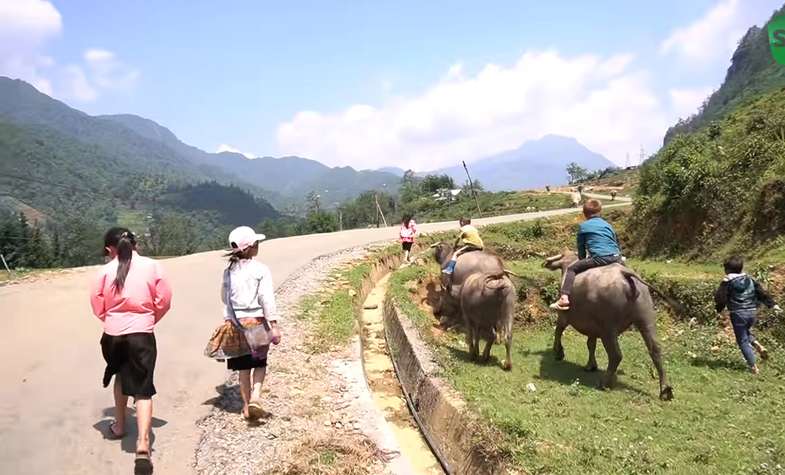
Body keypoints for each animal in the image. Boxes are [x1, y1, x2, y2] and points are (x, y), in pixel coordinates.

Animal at [544, 253, 672, 402]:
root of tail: (625, 273)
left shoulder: (564, 316)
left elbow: (558, 331)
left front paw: (558, 352)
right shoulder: (592, 327)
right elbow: (591, 344)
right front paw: (591, 365)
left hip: (608, 328)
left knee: (616, 355)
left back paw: (604, 383)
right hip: (646, 318)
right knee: (655, 350)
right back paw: (665, 390)